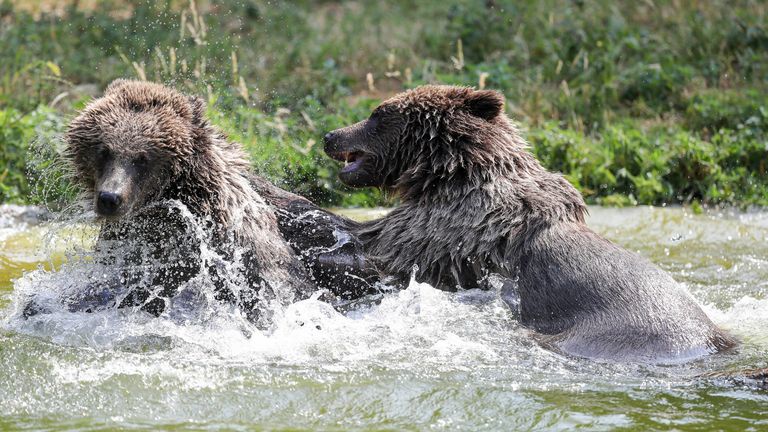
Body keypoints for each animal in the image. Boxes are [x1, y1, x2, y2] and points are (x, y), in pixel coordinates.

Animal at [320, 84, 736, 362]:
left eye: (377, 114)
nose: (329, 135)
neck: (452, 172)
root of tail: (711, 343)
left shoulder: (455, 224)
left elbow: (385, 245)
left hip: (610, 332)